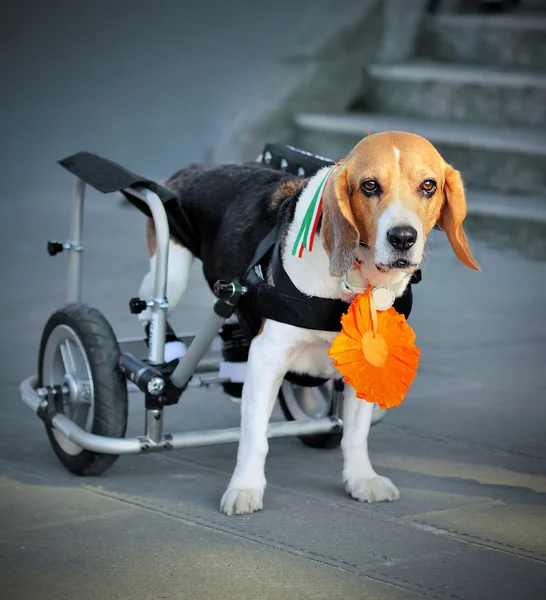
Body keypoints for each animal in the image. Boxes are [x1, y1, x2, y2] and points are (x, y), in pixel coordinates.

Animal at [138, 131, 478, 516]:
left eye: (428, 186)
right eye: (370, 186)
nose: (403, 238)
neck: (353, 282)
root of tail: (196, 168)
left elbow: (355, 434)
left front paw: (361, 478)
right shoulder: (267, 357)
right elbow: (255, 436)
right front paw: (245, 487)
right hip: (169, 271)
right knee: (150, 309)